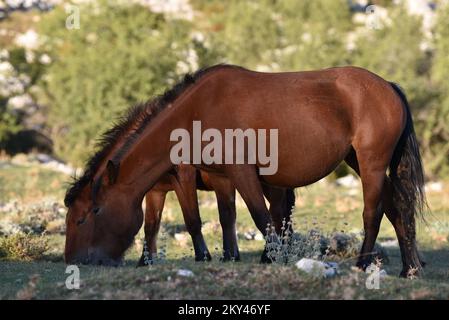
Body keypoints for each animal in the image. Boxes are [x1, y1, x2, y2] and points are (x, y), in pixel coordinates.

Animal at [89, 64, 426, 276]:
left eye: (93, 211)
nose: (88, 259)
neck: (198, 110)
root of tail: (389, 87)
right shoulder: (222, 177)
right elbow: (233, 217)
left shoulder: (240, 173)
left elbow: (261, 218)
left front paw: (277, 259)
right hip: (363, 162)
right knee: (397, 208)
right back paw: (409, 268)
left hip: (372, 164)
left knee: (373, 212)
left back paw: (363, 264)